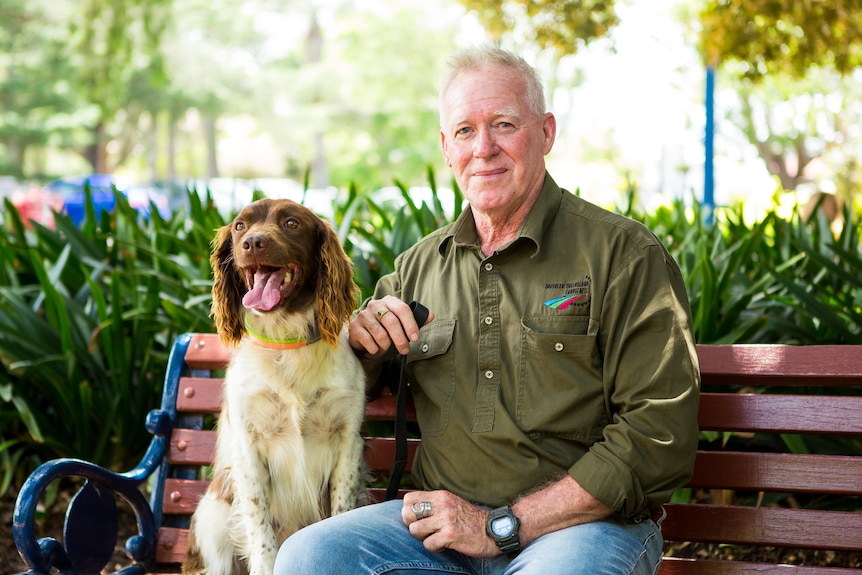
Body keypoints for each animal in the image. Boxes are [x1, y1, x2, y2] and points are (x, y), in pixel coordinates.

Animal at [184, 199, 366, 575]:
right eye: (240, 226)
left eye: (292, 223)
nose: (253, 243)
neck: (287, 344)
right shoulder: (249, 448)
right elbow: (260, 529)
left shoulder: (348, 441)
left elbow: (341, 510)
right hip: (213, 517)